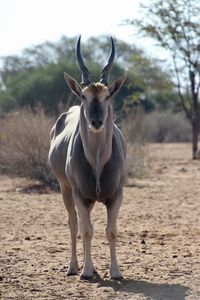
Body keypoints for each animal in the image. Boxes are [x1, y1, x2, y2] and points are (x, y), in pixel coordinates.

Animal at [48, 36, 126, 280]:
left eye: (107, 95)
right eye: (84, 95)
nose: (96, 122)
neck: (98, 161)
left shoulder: (116, 194)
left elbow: (111, 231)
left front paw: (115, 272)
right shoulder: (79, 194)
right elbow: (86, 230)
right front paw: (86, 272)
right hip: (65, 188)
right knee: (74, 223)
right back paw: (74, 267)